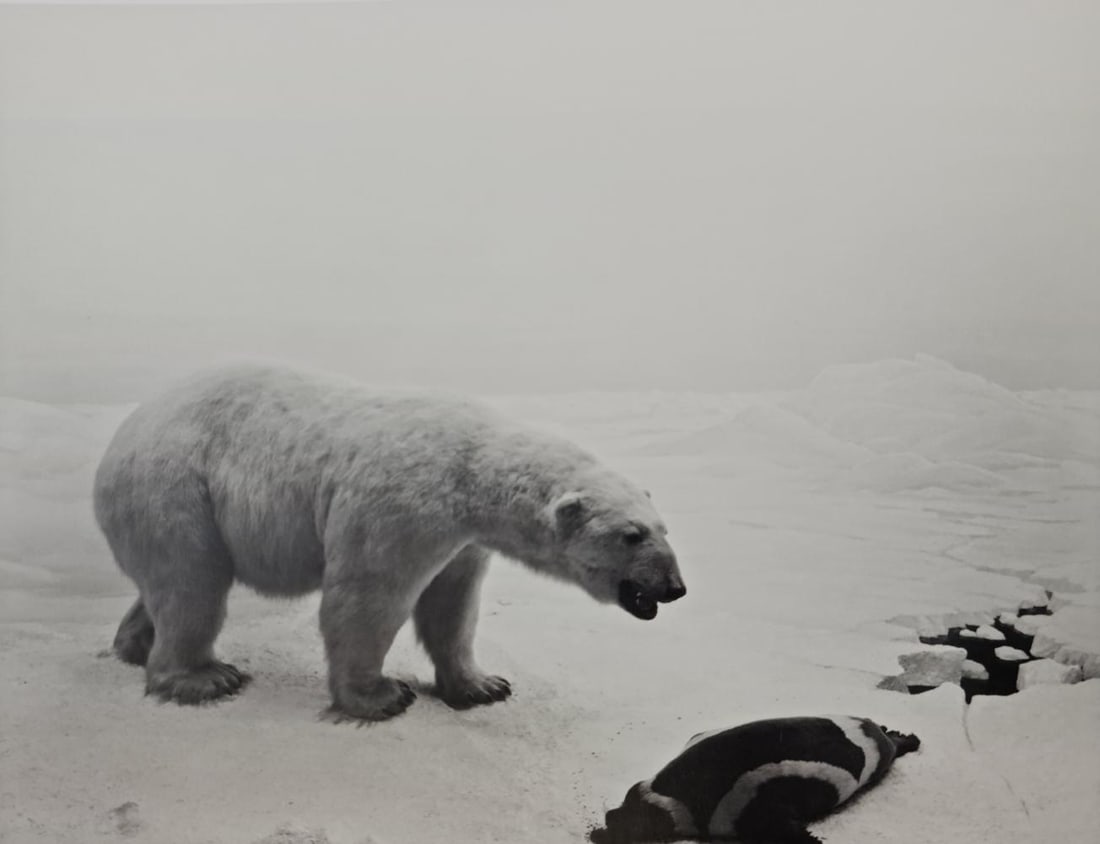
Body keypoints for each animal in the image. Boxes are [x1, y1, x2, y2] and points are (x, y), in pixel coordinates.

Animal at [93, 365, 685, 721]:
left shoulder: (463, 539)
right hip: (176, 489)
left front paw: (483, 685)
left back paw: (134, 645)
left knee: (168, 584)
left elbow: (453, 605)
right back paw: (203, 677)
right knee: (192, 583)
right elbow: (368, 596)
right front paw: (380, 696)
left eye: (664, 527)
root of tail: (121, 434)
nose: (675, 587)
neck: (472, 470)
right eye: (631, 535)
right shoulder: (401, 505)